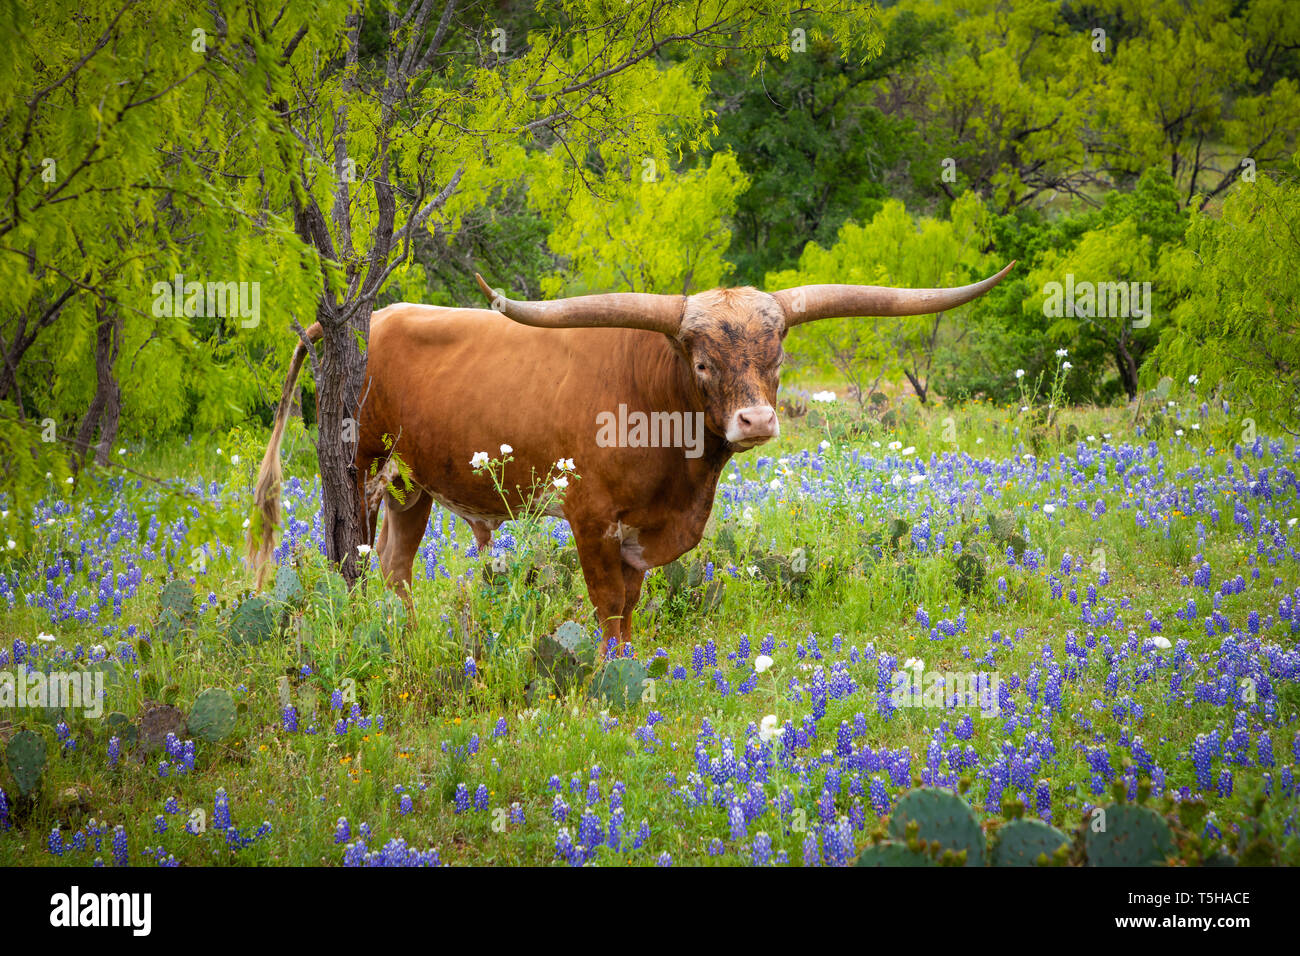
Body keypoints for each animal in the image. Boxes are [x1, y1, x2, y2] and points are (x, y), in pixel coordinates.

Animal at [245, 261, 1013, 650]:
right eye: (702, 362)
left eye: (777, 355)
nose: (757, 419)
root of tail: (378, 316)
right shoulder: (589, 517)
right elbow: (608, 603)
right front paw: (612, 667)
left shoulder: (644, 529)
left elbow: (633, 601)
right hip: (361, 467)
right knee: (356, 559)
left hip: (416, 485)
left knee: (396, 566)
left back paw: (406, 636)